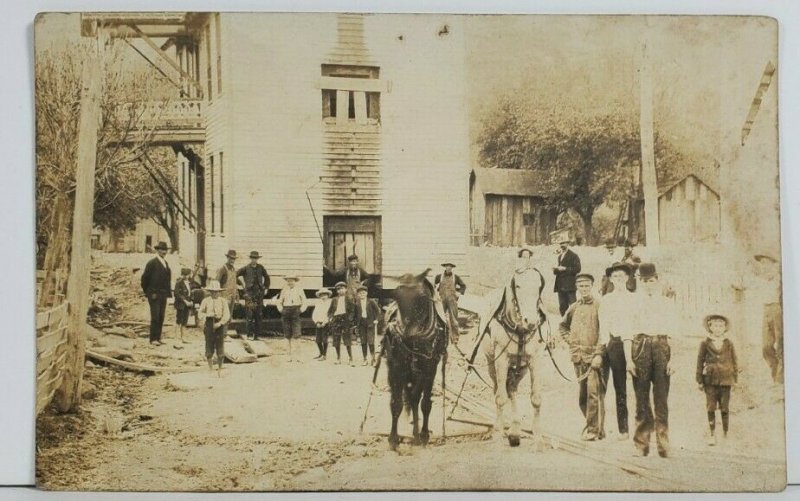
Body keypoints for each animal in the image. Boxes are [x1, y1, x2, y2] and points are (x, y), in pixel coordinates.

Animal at [382, 270, 446, 450]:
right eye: (396, 295)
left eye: (423, 297)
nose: (407, 334)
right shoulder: (396, 367)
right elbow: (396, 403)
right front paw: (393, 438)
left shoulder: (430, 368)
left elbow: (425, 403)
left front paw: (423, 434)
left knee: (415, 398)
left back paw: (418, 433)